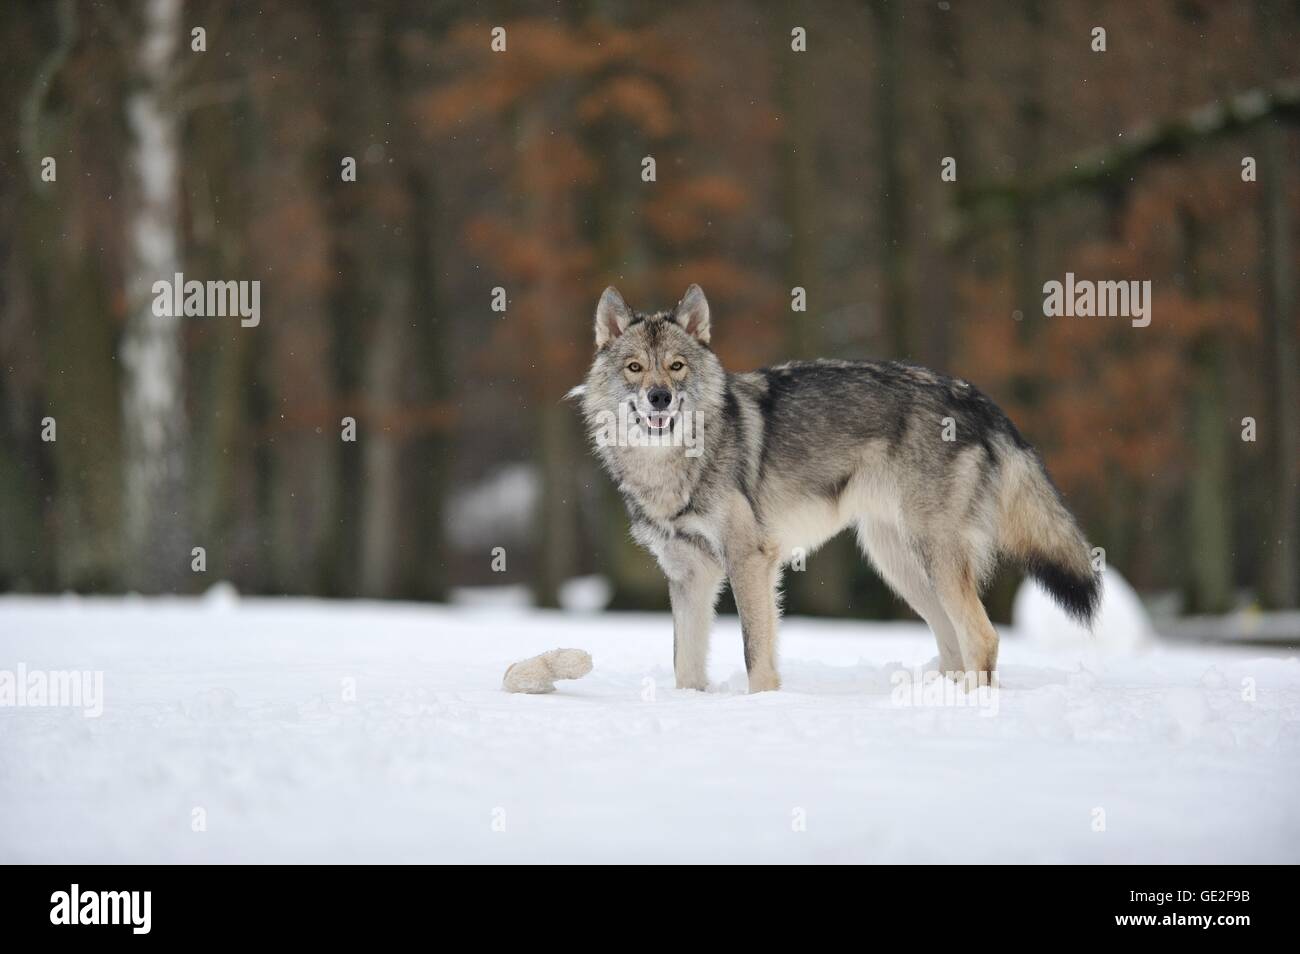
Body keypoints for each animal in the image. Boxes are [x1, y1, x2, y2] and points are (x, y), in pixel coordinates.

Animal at [574, 284, 1099, 692]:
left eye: (677, 366)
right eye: (635, 368)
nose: (660, 397)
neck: (670, 467)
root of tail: (978, 399)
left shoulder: (749, 560)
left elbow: (755, 654)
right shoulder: (688, 576)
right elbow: (685, 665)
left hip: (933, 559)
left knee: (983, 637)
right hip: (900, 565)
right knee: (954, 644)